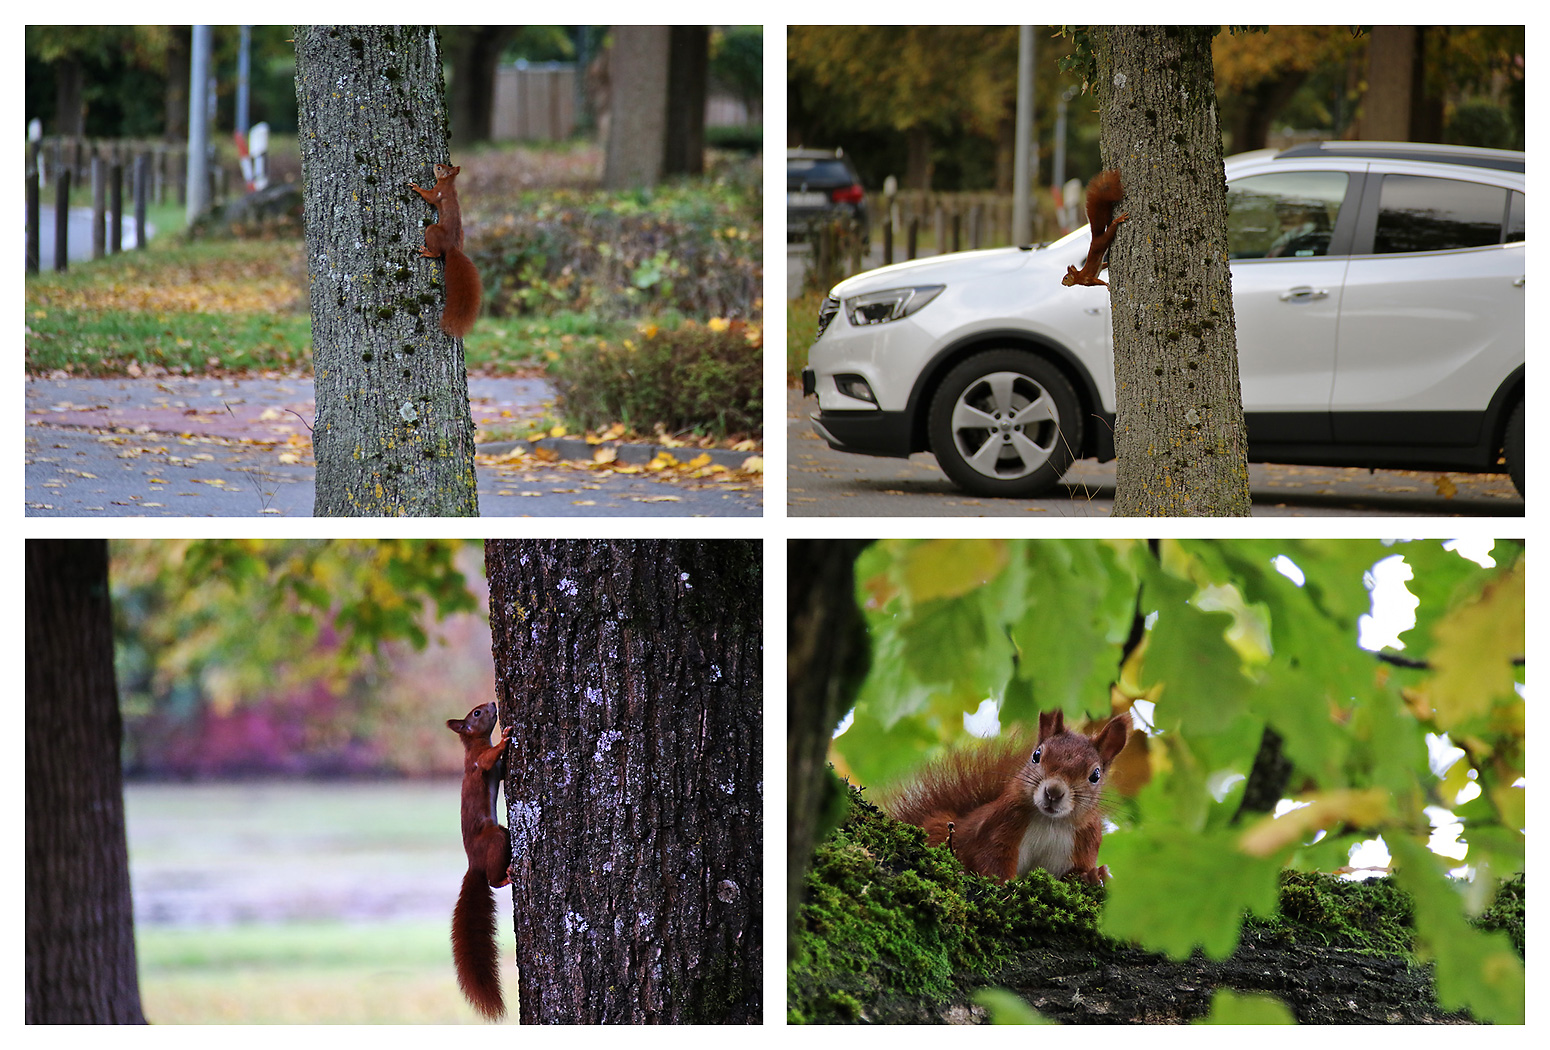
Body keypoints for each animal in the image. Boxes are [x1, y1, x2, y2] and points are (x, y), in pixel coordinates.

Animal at [409, 162, 480, 338]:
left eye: (440, 168)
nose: (435, 165)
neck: (448, 184)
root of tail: (452, 247)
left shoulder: (438, 193)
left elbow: (429, 197)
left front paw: (416, 187)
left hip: (432, 231)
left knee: (437, 253)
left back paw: (426, 252)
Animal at [886, 704, 1128, 887]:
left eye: (1095, 775)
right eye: (1036, 755)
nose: (1053, 792)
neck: (1051, 823)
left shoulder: (1085, 842)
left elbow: (1075, 875)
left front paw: (1095, 876)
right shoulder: (1001, 825)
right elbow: (991, 860)